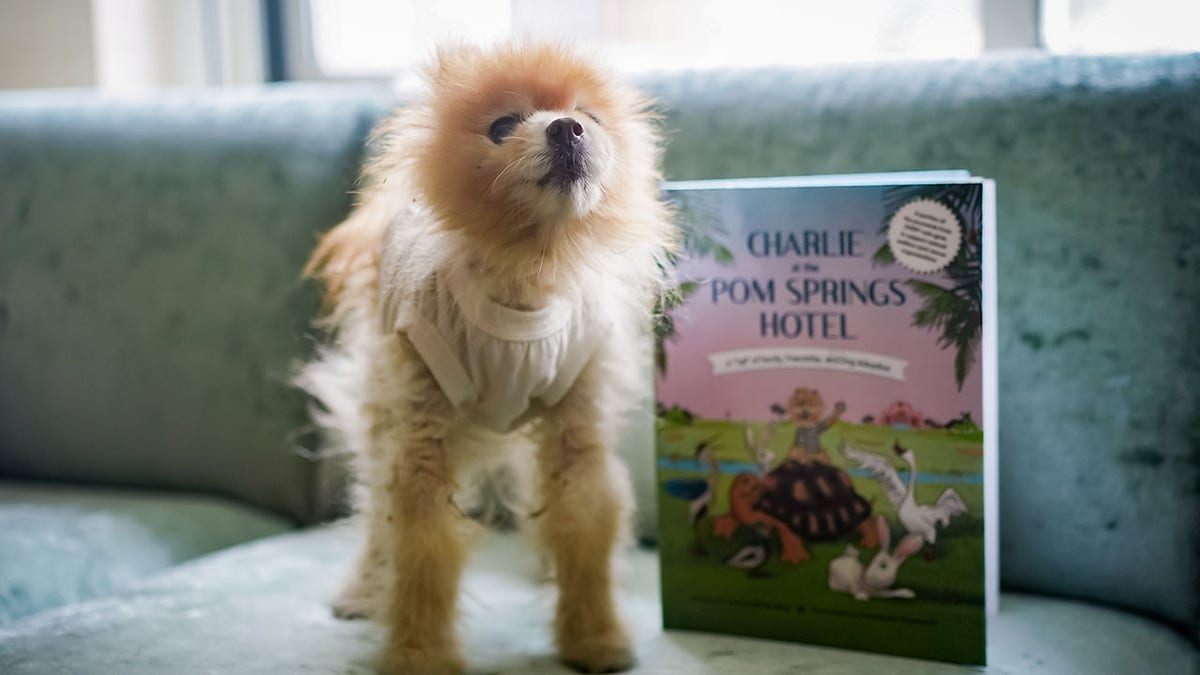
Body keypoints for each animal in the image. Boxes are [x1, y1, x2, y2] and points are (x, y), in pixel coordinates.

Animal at [294, 43, 676, 672]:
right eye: (502, 126)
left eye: (589, 116)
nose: (566, 127)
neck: (523, 294)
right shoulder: (422, 444)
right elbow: (421, 551)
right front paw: (419, 653)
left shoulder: (575, 431)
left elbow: (585, 526)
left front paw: (594, 636)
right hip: (383, 409)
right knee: (375, 513)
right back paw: (364, 590)